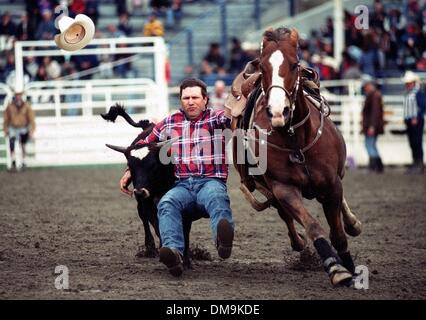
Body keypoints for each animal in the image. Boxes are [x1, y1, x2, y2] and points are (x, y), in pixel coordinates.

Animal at [235, 28, 362, 286]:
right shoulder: (284, 189)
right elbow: (313, 226)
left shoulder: (332, 185)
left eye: (294, 64)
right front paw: (336, 268)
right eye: (263, 67)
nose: (277, 112)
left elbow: (338, 234)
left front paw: (350, 267)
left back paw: (353, 223)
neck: (297, 141)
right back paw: (298, 242)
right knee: (285, 215)